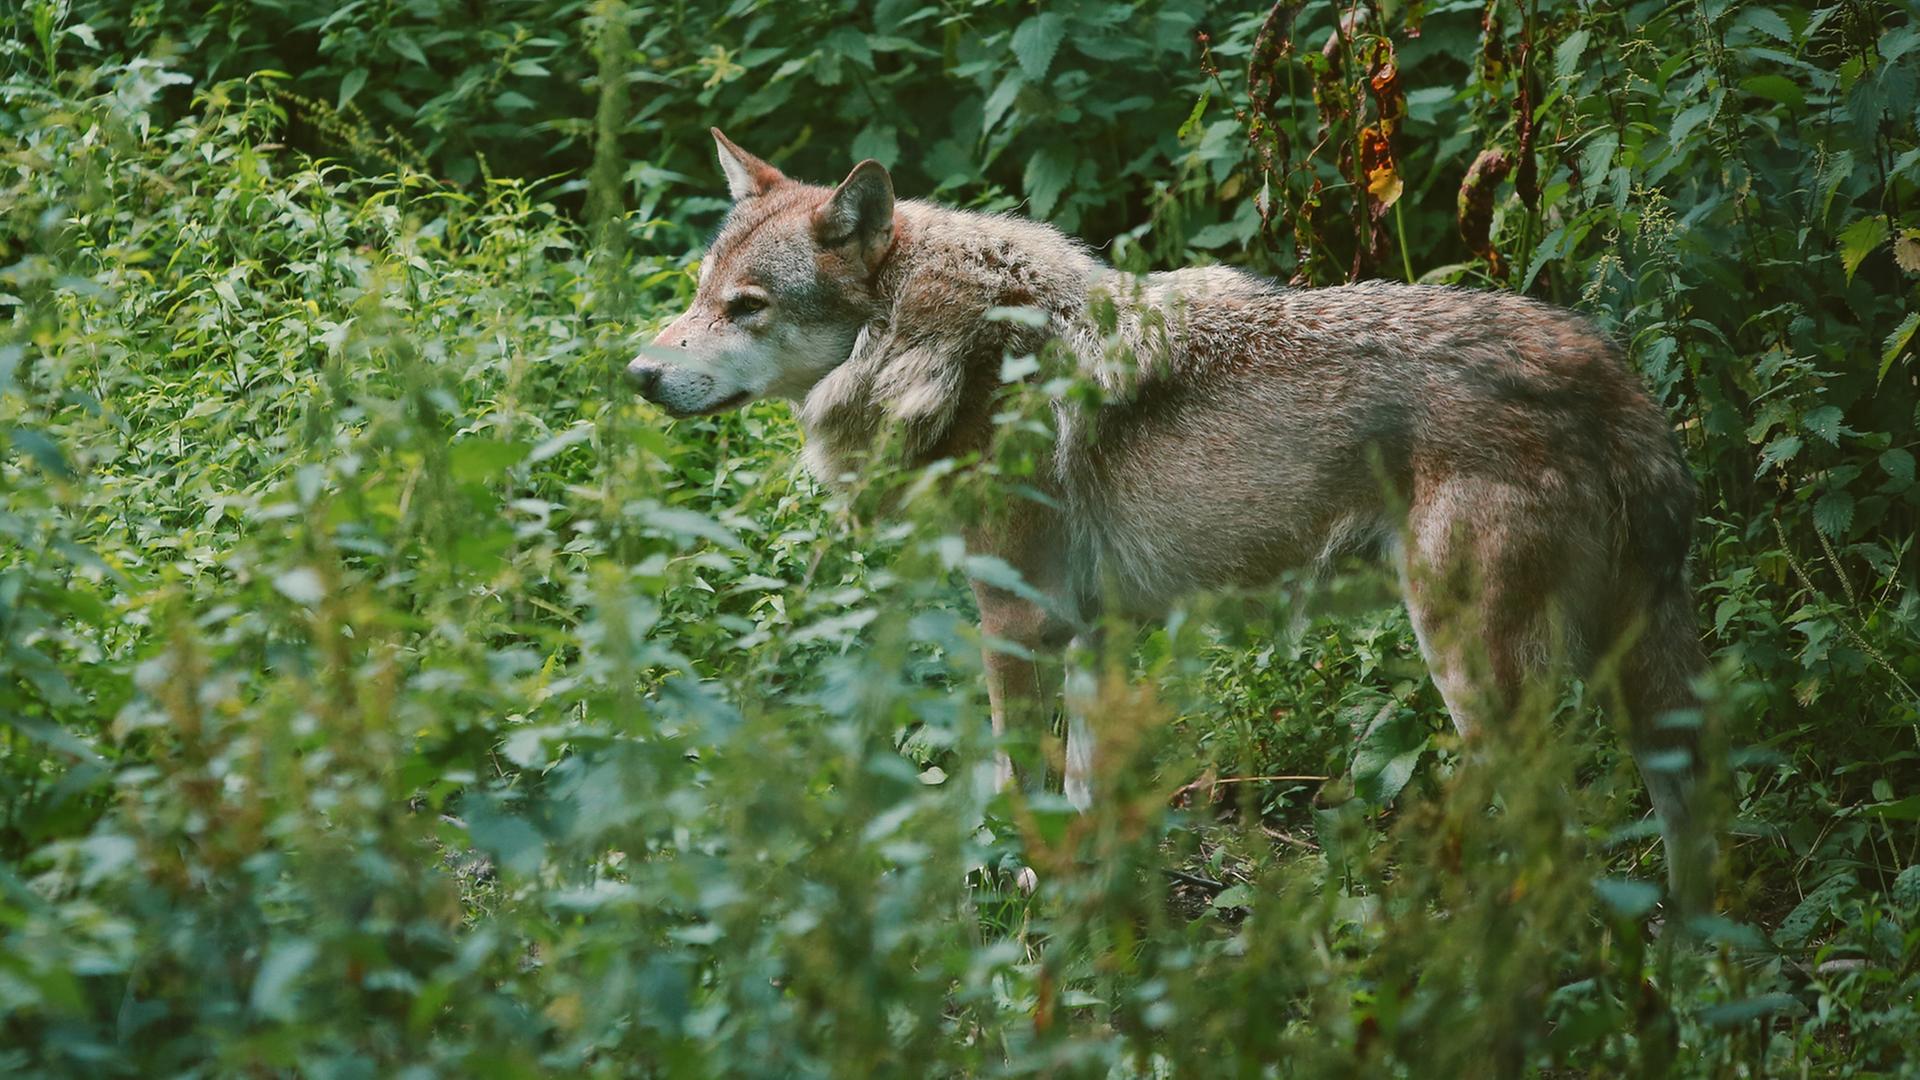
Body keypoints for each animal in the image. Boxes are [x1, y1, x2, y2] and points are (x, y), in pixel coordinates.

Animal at [629, 130, 1717, 913]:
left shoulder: (1016, 626)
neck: (946, 346)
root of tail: (1609, 372)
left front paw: (1037, 919)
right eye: (699, 295)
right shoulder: (1097, 632)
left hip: (1481, 676)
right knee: (1695, 823)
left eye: (748, 307)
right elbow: (1083, 791)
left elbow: (1023, 793)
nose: (637, 374)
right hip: (1635, 683)